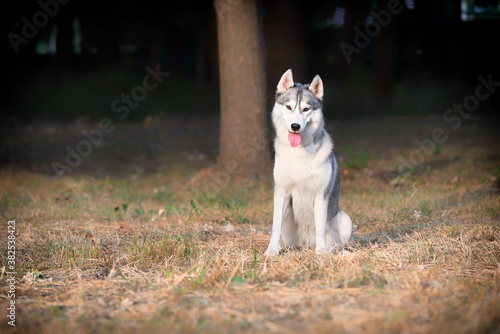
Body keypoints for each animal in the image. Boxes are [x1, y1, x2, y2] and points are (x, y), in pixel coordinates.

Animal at [264, 68, 354, 256]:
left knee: (340, 243)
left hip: (344, 218)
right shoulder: (281, 192)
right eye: (289, 107)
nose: (295, 126)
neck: (299, 152)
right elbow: (275, 227)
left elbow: (320, 227)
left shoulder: (320, 196)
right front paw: (272, 251)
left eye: (306, 109)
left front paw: (320, 252)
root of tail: (306, 244)